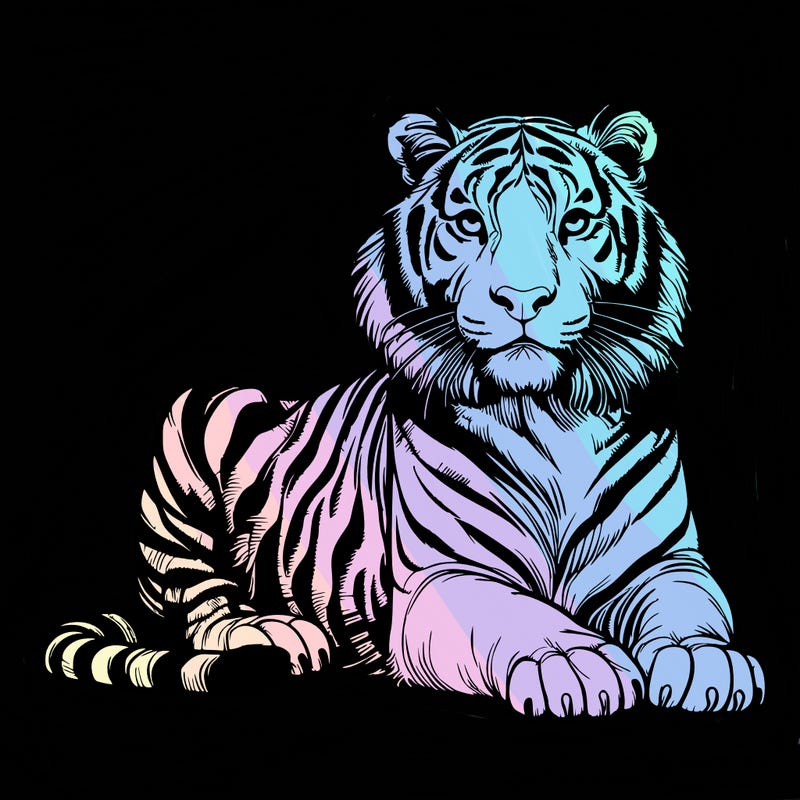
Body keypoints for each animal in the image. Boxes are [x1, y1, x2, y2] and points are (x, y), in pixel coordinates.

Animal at [45, 107, 765, 717]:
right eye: (470, 222)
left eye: (575, 223)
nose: (522, 298)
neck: (549, 416)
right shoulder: (445, 579)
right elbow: (516, 615)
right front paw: (571, 662)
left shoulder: (667, 559)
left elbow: (691, 607)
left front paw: (708, 663)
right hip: (202, 421)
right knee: (201, 602)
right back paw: (275, 631)